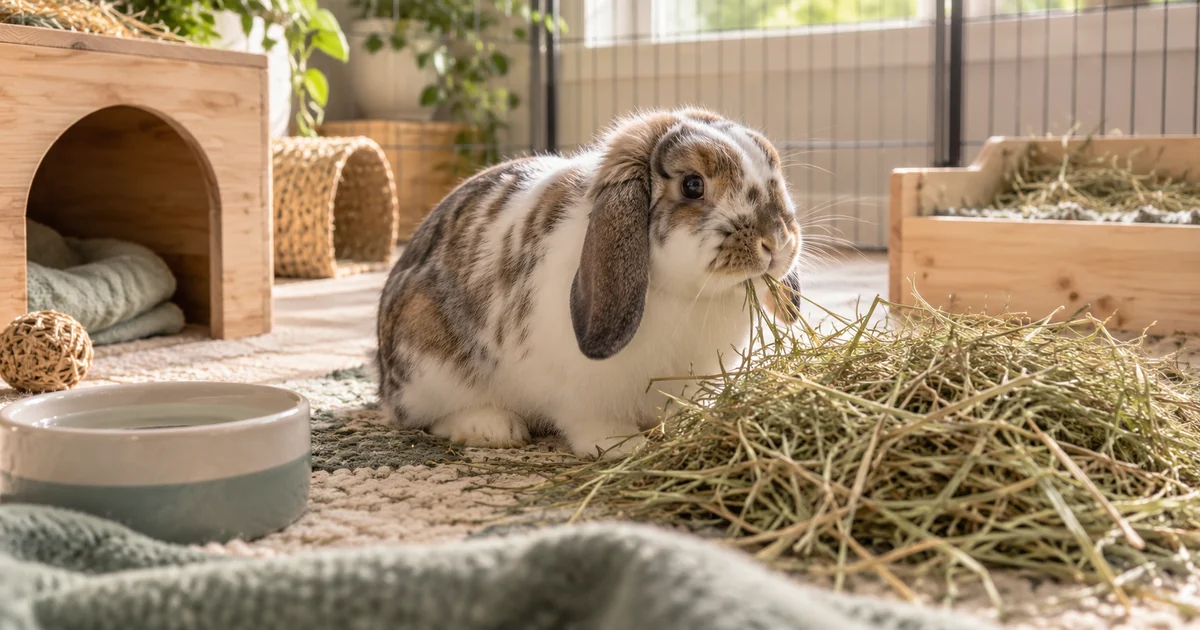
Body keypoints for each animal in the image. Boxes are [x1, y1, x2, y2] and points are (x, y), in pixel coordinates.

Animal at [374, 107, 804, 459]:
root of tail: (383, 377)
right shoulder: (582, 393)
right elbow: (593, 422)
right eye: (693, 185)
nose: (775, 242)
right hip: (429, 361)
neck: (688, 296)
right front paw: (623, 447)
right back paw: (492, 428)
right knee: (422, 416)